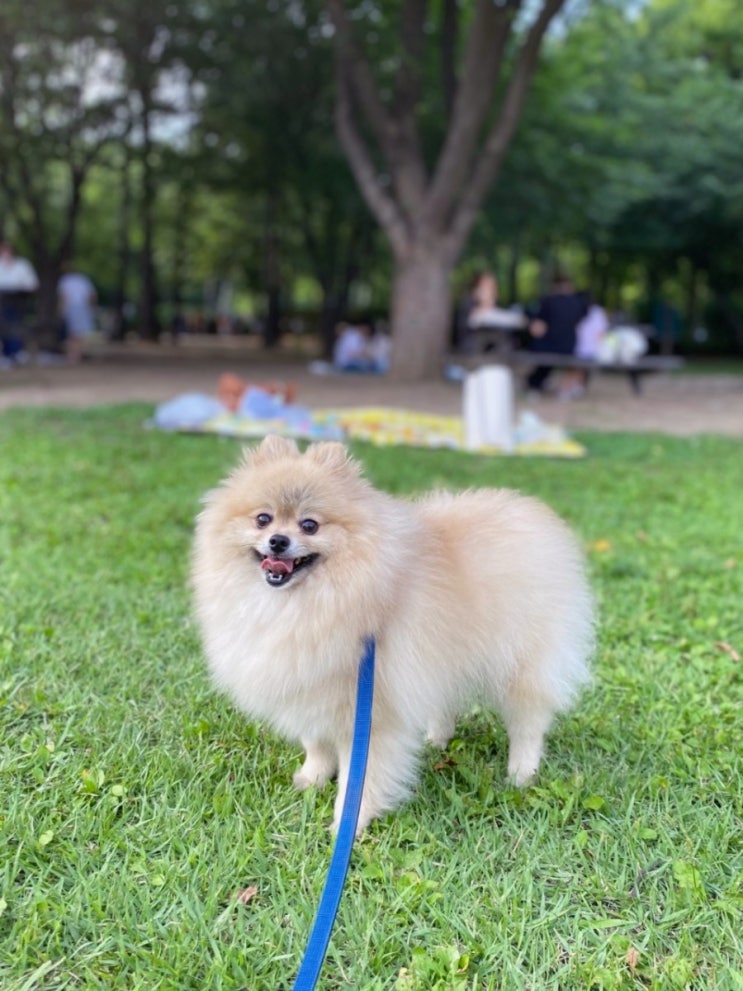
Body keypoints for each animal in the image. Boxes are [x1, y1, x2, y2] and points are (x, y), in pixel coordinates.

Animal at [192, 438, 592, 832]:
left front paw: (349, 821)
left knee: (529, 722)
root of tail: (534, 514)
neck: (306, 604)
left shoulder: (369, 713)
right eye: (263, 518)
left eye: (310, 525)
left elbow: (361, 778)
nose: (277, 541)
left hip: (521, 666)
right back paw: (437, 739)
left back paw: (522, 772)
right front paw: (312, 778)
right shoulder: (310, 687)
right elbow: (316, 742)